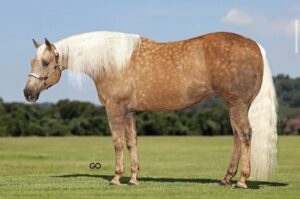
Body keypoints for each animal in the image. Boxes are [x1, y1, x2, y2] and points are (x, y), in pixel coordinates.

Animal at [23, 31, 276, 188]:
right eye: (32, 62)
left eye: (45, 62)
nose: (28, 93)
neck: (112, 61)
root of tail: (255, 45)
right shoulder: (130, 111)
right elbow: (131, 141)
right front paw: (134, 178)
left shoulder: (115, 109)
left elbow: (117, 142)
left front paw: (116, 178)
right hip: (235, 105)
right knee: (237, 137)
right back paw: (225, 179)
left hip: (237, 104)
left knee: (245, 135)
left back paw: (241, 181)